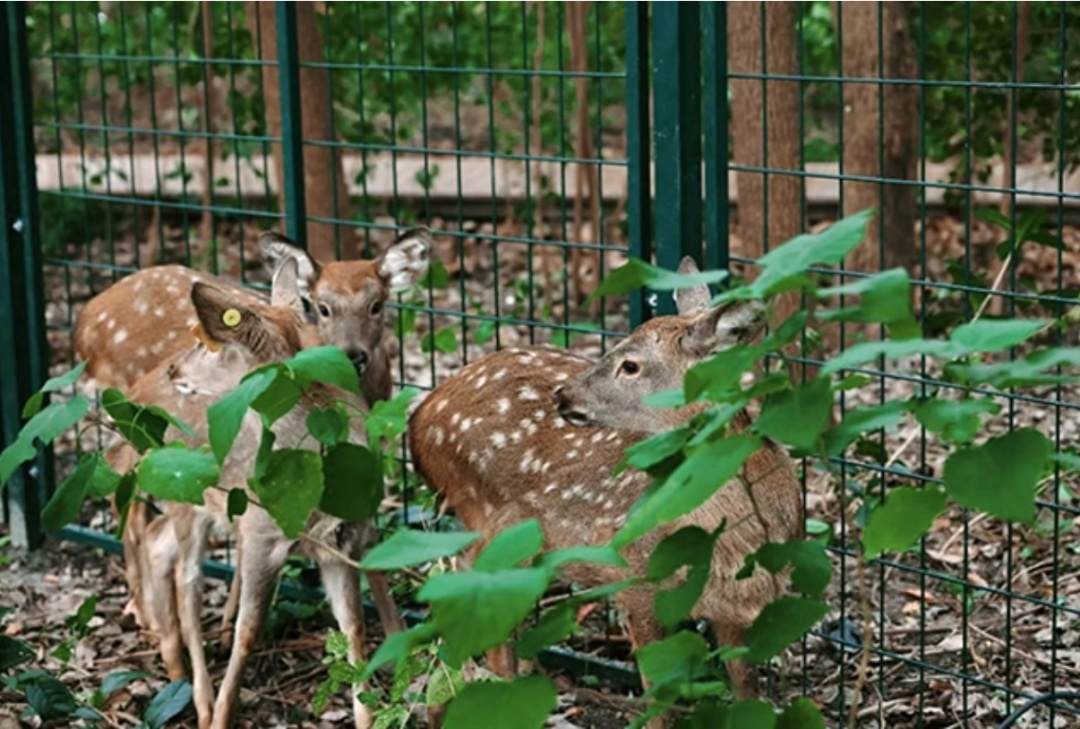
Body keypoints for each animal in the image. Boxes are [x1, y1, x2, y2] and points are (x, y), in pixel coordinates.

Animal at [109, 259, 401, 725]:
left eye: (206, 342)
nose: (174, 371)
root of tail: (135, 403)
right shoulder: (262, 535)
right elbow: (247, 633)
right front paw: (222, 715)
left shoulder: (340, 542)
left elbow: (353, 628)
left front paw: (368, 717)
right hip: (185, 493)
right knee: (186, 580)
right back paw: (200, 701)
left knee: (158, 545)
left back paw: (173, 664)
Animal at [408, 258, 807, 717]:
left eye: (630, 365)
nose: (563, 394)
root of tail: (420, 417)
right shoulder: (637, 581)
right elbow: (657, 698)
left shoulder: (735, 612)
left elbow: (746, 688)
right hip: (491, 513)